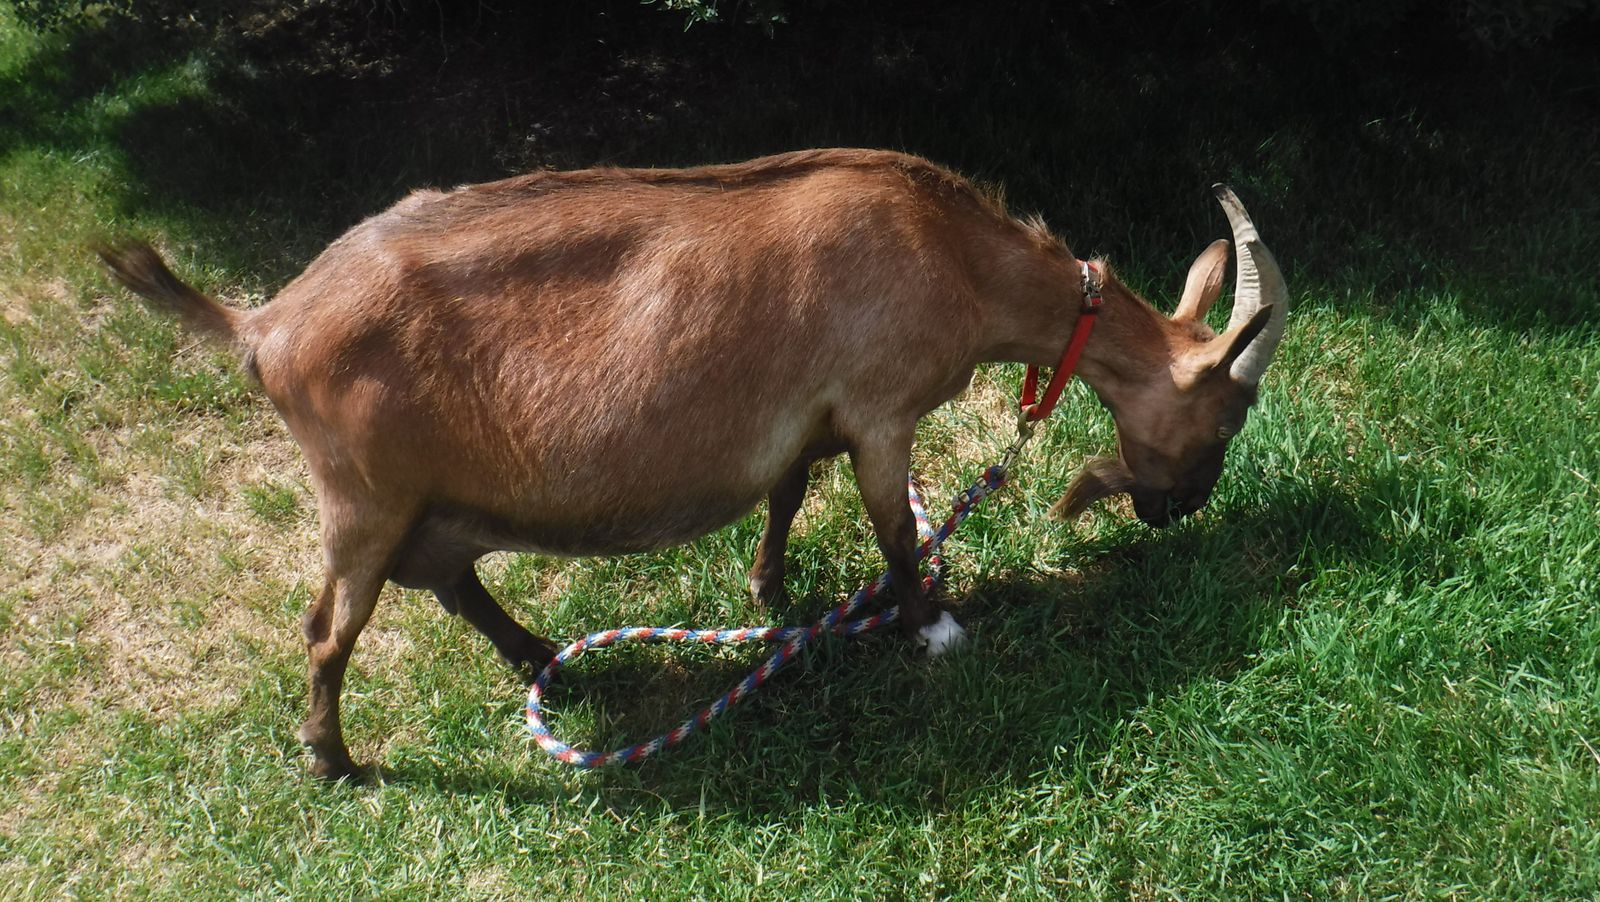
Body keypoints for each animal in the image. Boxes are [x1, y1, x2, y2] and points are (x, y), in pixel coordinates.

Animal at [97, 148, 1287, 779]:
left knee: (452, 580)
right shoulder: (882, 410)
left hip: (426, 501)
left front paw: (768, 590)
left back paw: (541, 656)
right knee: (329, 627)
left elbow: (789, 490)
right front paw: (935, 625)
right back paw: (335, 758)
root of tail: (264, 321)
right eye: (1228, 418)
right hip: (363, 493)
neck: (950, 255)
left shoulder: (814, 414)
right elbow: (893, 530)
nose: (1176, 512)